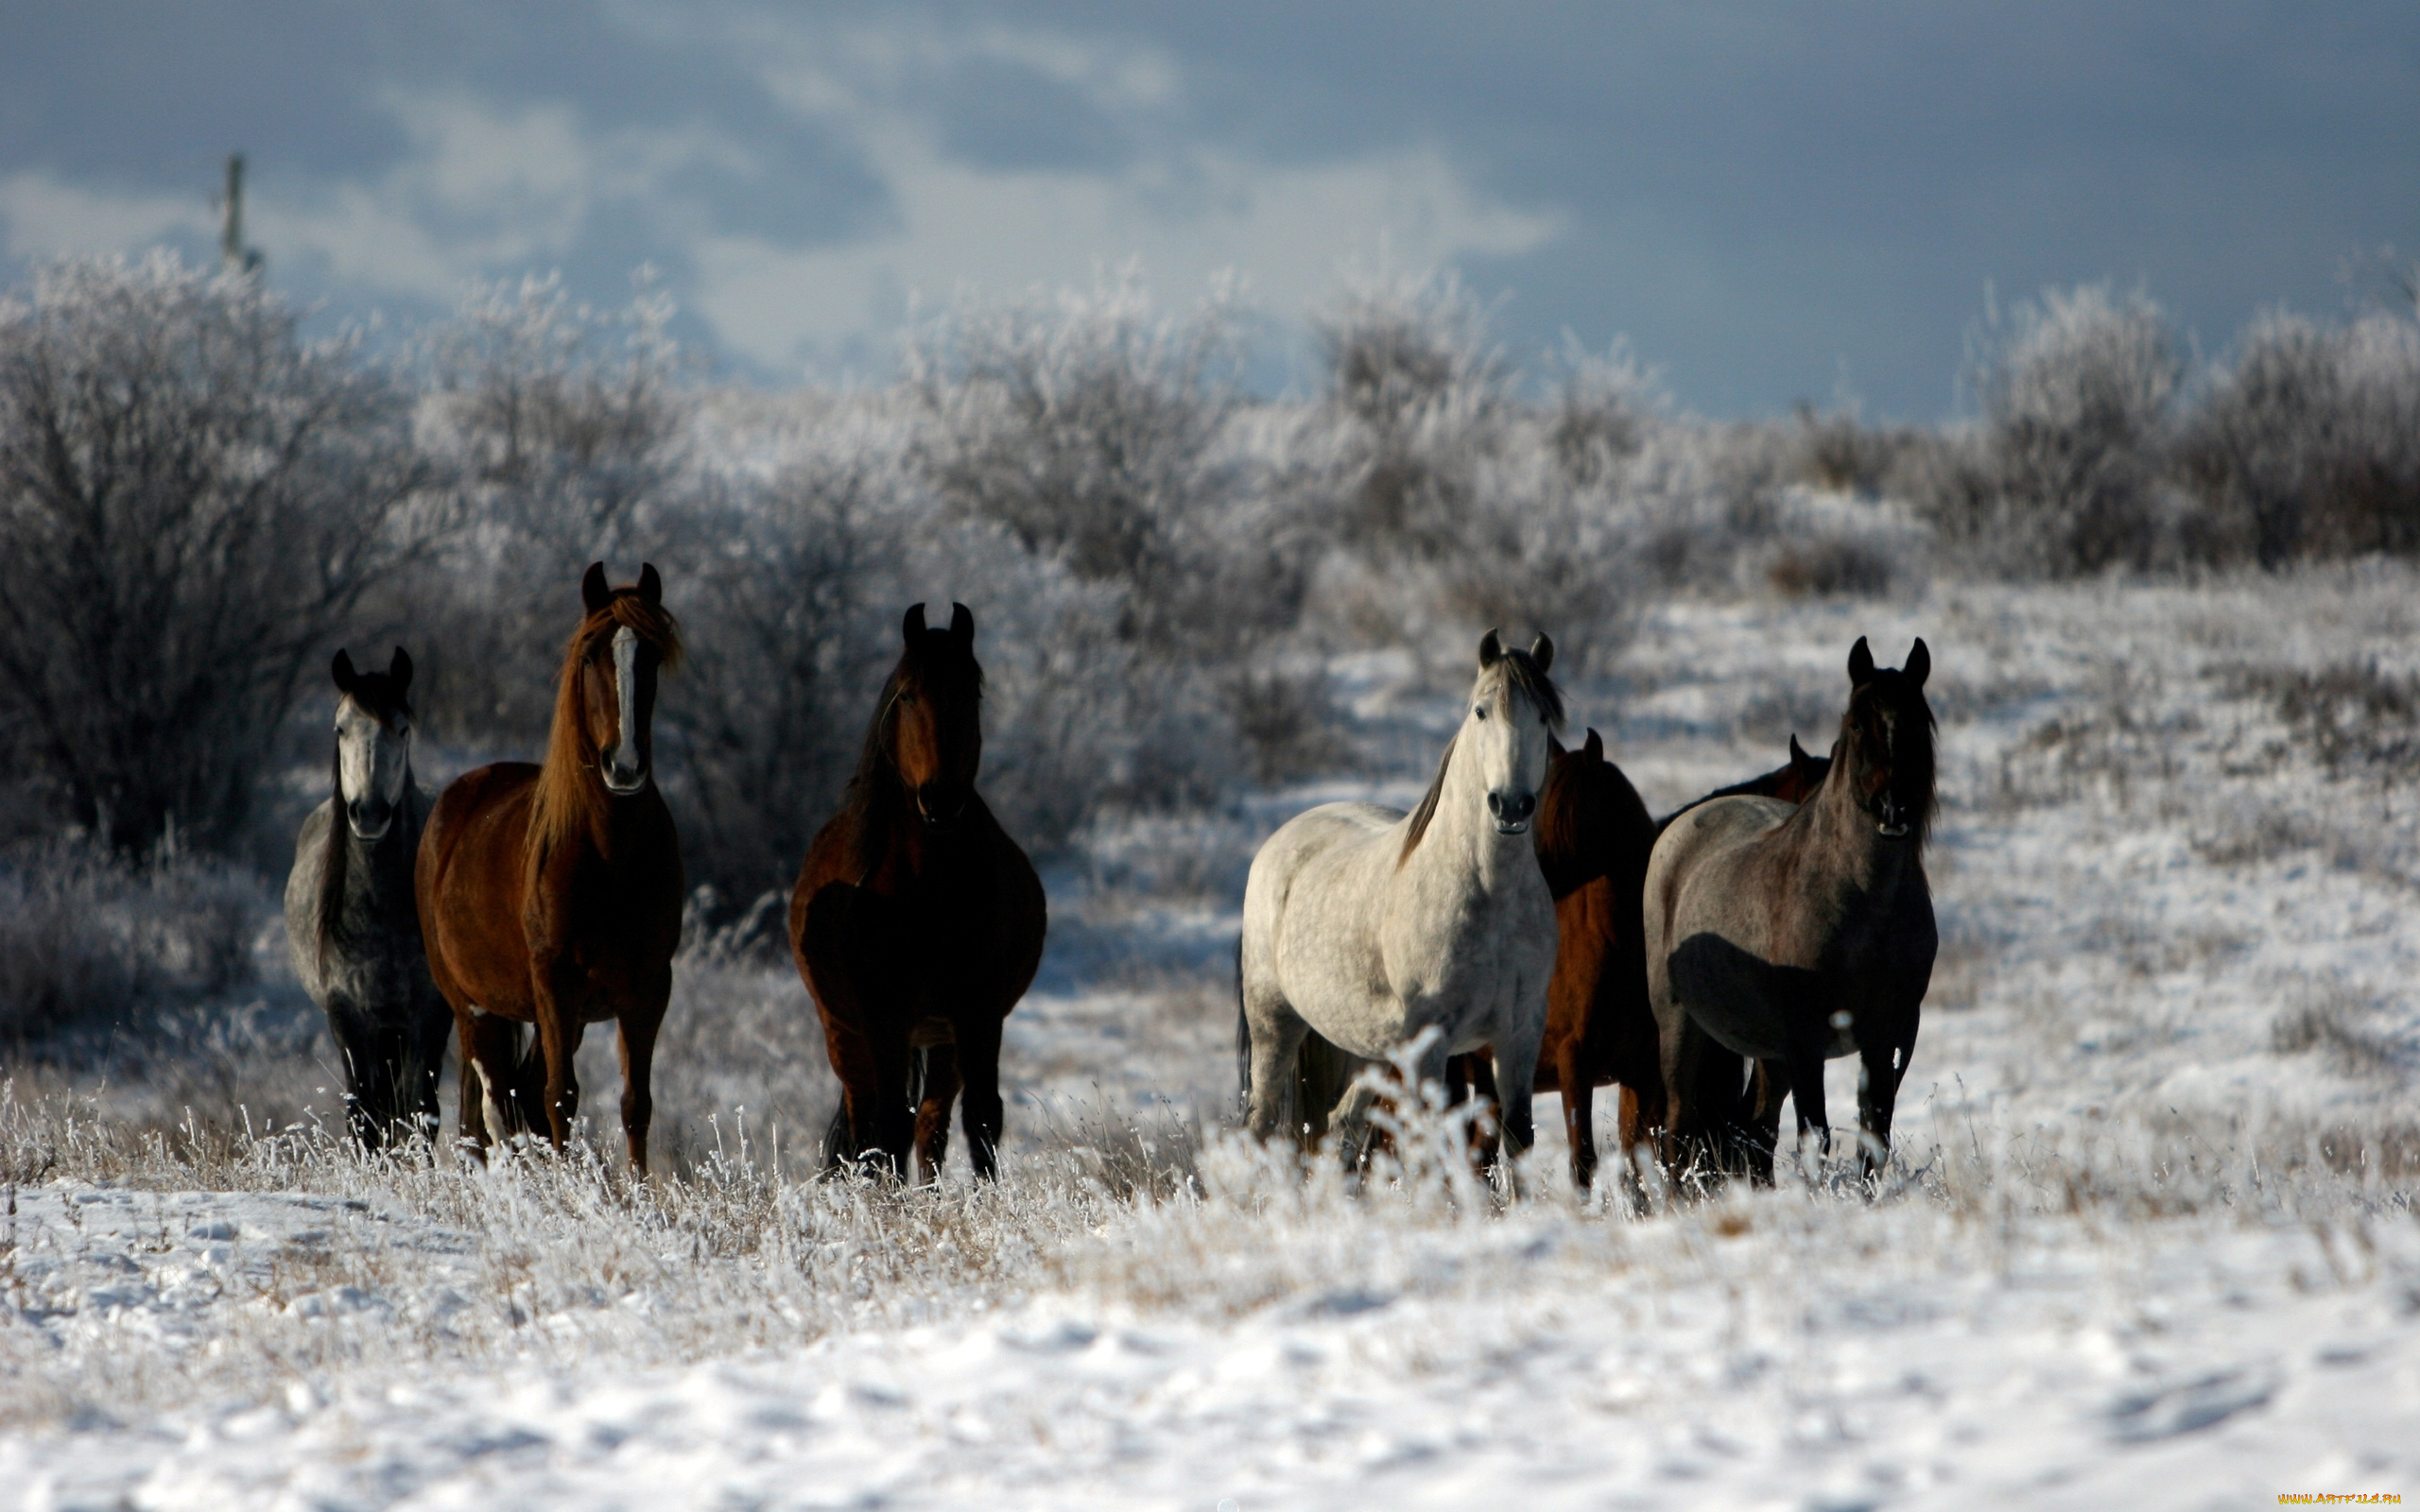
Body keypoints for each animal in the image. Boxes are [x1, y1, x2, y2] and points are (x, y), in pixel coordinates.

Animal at [284, 643, 455, 1151]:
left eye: (402, 728)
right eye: (341, 727)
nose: (370, 813)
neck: (382, 910)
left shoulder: (430, 1012)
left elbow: (420, 1111)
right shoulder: (349, 1016)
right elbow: (366, 1119)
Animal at [418, 563, 692, 1165]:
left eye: (651, 657)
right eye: (590, 656)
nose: (624, 766)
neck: (608, 855)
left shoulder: (646, 988)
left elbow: (635, 1103)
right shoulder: (554, 984)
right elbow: (559, 1097)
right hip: (474, 1008)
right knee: (494, 1112)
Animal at [788, 602, 1045, 1180]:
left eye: (971, 693)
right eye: (906, 695)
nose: (940, 799)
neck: (928, 892)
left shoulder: (979, 1014)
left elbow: (982, 1119)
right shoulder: (884, 1018)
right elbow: (886, 1128)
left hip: (942, 1037)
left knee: (931, 1123)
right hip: (846, 1032)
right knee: (868, 1118)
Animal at [1238, 628, 1558, 1160]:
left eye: (1544, 717)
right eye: (1481, 711)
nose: (1510, 806)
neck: (1490, 894)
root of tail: (1277, 842)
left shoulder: (1521, 1032)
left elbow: (1518, 1137)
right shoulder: (1430, 1041)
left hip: (1367, 1043)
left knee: (1341, 1123)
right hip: (1274, 1024)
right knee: (1259, 1126)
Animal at [1635, 638, 1936, 1180]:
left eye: (1920, 720)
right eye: (1856, 723)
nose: (1893, 809)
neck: (1864, 913)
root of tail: (1678, 830)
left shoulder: (1894, 1033)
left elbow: (1873, 1139)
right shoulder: (1805, 1038)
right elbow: (1815, 1137)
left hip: (1768, 1054)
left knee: (1753, 1133)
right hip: (1681, 1027)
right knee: (1678, 1130)